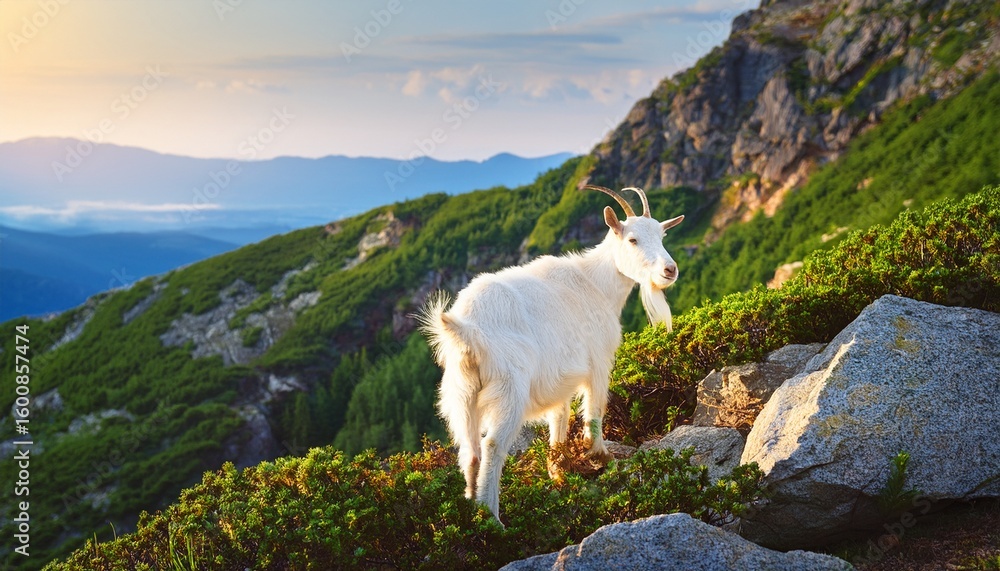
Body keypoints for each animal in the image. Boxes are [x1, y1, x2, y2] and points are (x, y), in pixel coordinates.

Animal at [419, 185, 684, 522]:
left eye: (662, 236)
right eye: (632, 239)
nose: (669, 270)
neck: (596, 284)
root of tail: (466, 329)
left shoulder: (560, 378)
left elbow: (560, 417)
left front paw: (558, 470)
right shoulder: (599, 361)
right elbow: (595, 411)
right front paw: (601, 456)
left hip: (460, 394)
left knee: (470, 451)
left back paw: (473, 514)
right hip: (509, 389)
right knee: (493, 446)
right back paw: (494, 519)